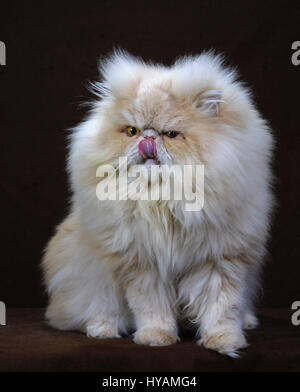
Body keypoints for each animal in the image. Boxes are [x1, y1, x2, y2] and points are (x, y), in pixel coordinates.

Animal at [42, 50, 274, 356]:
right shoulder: (143, 266)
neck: (164, 200)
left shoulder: (219, 260)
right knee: (90, 311)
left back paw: (247, 322)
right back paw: (102, 329)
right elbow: (152, 309)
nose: (148, 138)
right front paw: (155, 338)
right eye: (132, 131)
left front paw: (225, 342)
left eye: (171, 134)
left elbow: (221, 309)